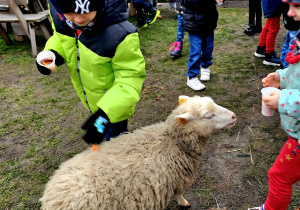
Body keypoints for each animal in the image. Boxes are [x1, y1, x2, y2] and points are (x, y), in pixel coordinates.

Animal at [40, 95, 237, 210]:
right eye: (208, 116)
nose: (234, 116)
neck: (173, 142)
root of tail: (50, 198)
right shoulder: (176, 180)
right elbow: (180, 194)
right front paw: (184, 203)